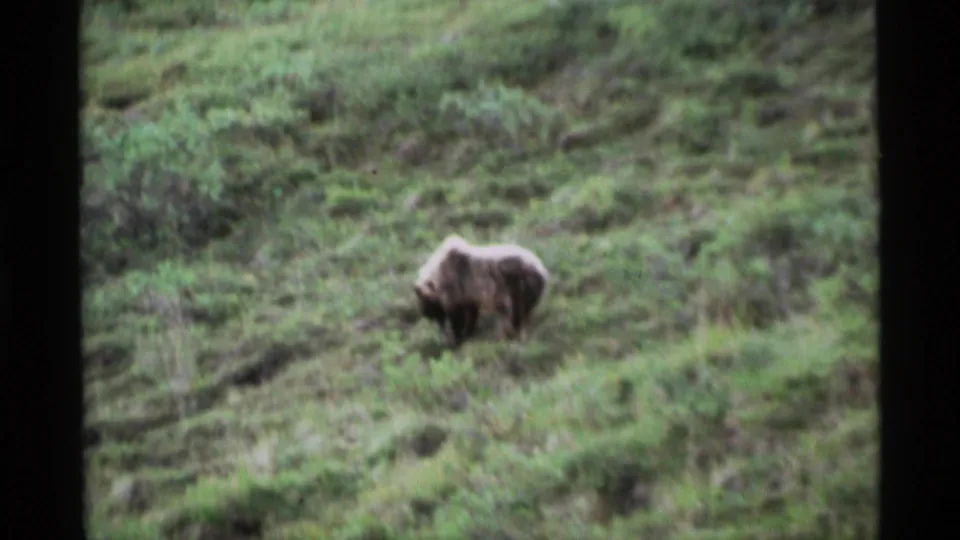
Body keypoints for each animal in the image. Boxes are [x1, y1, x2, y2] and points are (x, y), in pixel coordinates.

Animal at [413, 235, 550, 348]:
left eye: (425, 302)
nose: (427, 315)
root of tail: (543, 270)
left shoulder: (457, 287)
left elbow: (458, 317)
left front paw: (458, 339)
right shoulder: (469, 295)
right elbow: (471, 314)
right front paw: (467, 333)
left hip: (520, 284)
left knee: (518, 310)